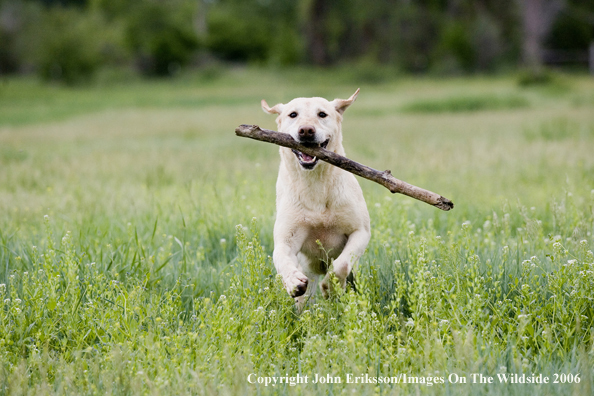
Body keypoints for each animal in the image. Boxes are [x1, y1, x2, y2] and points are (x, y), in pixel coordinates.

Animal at [260, 90, 368, 306]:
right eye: (293, 114)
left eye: (322, 114)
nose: (306, 131)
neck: (315, 183)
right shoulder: (286, 240)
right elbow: (281, 258)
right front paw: (292, 281)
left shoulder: (361, 232)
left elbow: (342, 264)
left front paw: (331, 287)